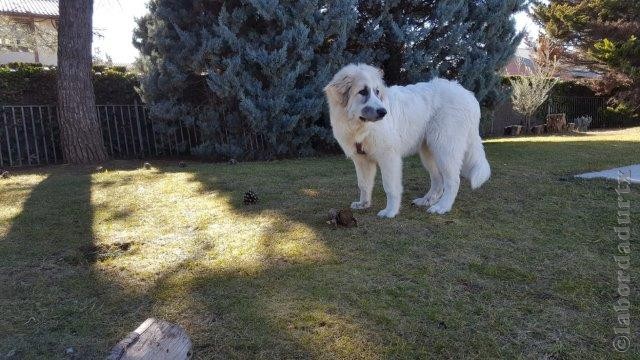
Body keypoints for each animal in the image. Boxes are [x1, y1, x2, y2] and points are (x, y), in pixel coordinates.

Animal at [324, 63, 490, 218]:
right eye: (363, 91)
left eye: (377, 92)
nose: (383, 112)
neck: (359, 126)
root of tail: (467, 95)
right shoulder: (361, 160)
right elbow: (363, 184)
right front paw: (363, 204)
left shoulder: (389, 158)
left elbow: (390, 187)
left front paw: (390, 211)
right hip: (429, 152)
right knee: (437, 180)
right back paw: (426, 200)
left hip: (445, 149)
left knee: (452, 181)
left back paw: (442, 207)